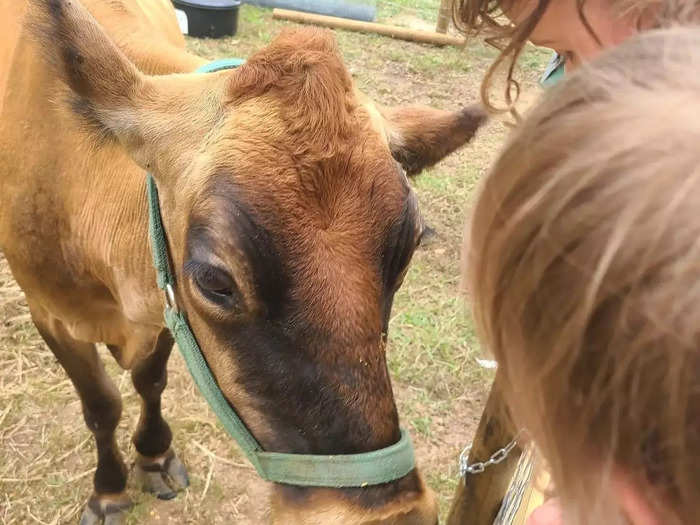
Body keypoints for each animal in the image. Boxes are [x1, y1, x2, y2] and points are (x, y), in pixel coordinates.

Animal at [0, 0, 486, 520]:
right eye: (214, 281)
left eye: (409, 248)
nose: (391, 515)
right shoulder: (50, 313)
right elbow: (101, 405)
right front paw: (109, 489)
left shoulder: (165, 309)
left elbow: (150, 380)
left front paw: (154, 455)